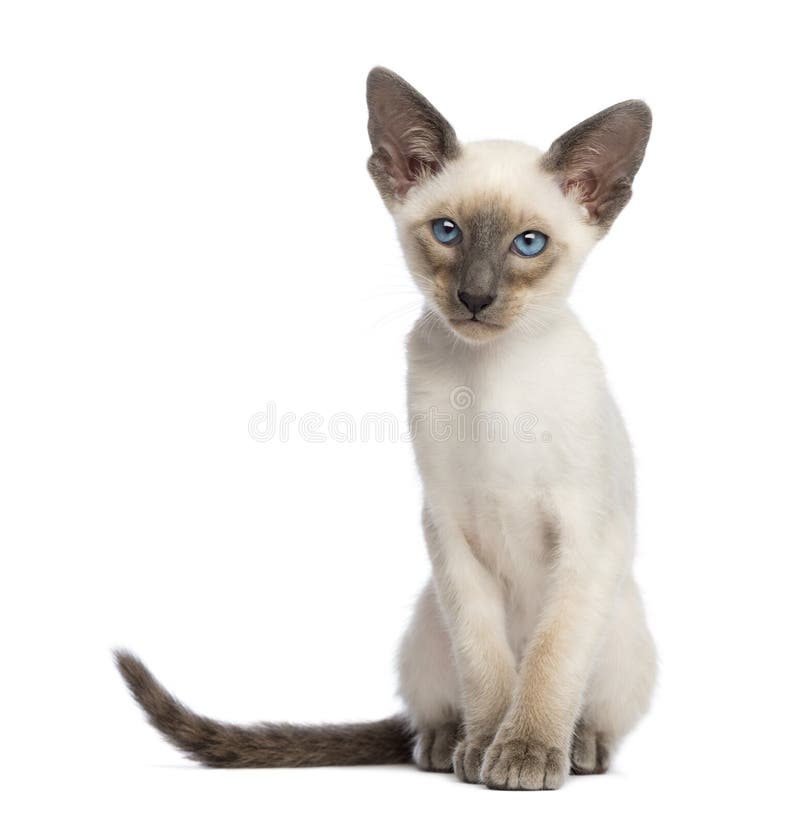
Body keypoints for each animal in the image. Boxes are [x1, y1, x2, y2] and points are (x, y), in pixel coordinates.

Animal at [119, 67, 656, 788]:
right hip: (428, 622)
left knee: (591, 702)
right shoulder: (448, 528)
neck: (491, 381)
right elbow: (486, 664)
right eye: (448, 232)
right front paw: (486, 749)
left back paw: (578, 748)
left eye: (529, 244)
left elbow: (548, 662)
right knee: (424, 710)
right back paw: (448, 744)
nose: (475, 298)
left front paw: (522, 754)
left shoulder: (586, 532)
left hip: (620, 623)